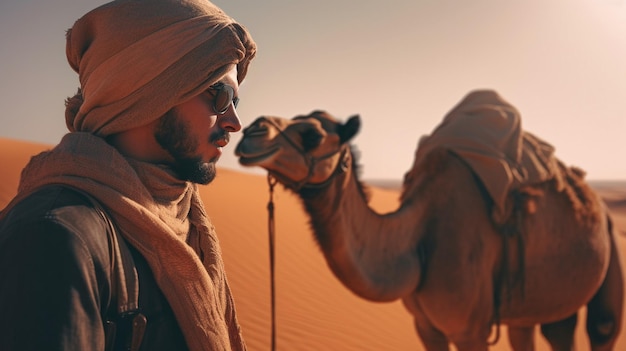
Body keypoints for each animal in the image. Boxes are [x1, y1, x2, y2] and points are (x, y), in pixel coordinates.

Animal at [233, 89, 620, 350]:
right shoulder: (425, 326)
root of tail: (600, 205)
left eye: (312, 135)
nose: (251, 133)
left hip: (608, 251)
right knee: (545, 331)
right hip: (535, 303)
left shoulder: (470, 329)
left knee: (602, 327)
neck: (416, 240)